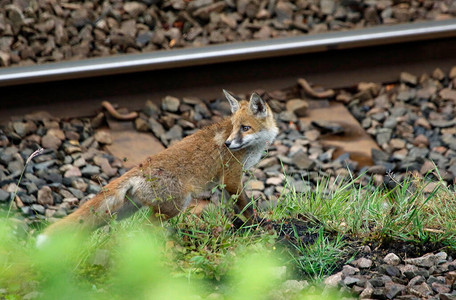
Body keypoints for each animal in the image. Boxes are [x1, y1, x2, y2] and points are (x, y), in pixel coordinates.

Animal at [36, 89, 278, 246]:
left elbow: (235, 210)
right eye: (234, 128)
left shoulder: (227, 183)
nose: (227, 144)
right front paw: (258, 226)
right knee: (142, 229)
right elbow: (247, 208)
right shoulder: (232, 177)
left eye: (245, 128)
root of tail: (138, 169)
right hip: (176, 206)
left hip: (124, 211)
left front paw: (241, 229)